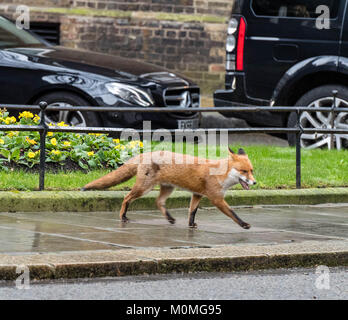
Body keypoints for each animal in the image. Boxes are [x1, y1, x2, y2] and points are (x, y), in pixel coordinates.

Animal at [81, 148, 256, 230]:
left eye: (252, 170)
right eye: (243, 171)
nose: (254, 183)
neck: (221, 174)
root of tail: (147, 153)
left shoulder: (197, 194)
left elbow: (192, 211)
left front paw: (191, 225)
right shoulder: (216, 199)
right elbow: (233, 214)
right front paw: (244, 224)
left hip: (167, 189)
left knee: (158, 202)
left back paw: (170, 218)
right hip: (143, 188)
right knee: (126, 198)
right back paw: (123, 217)